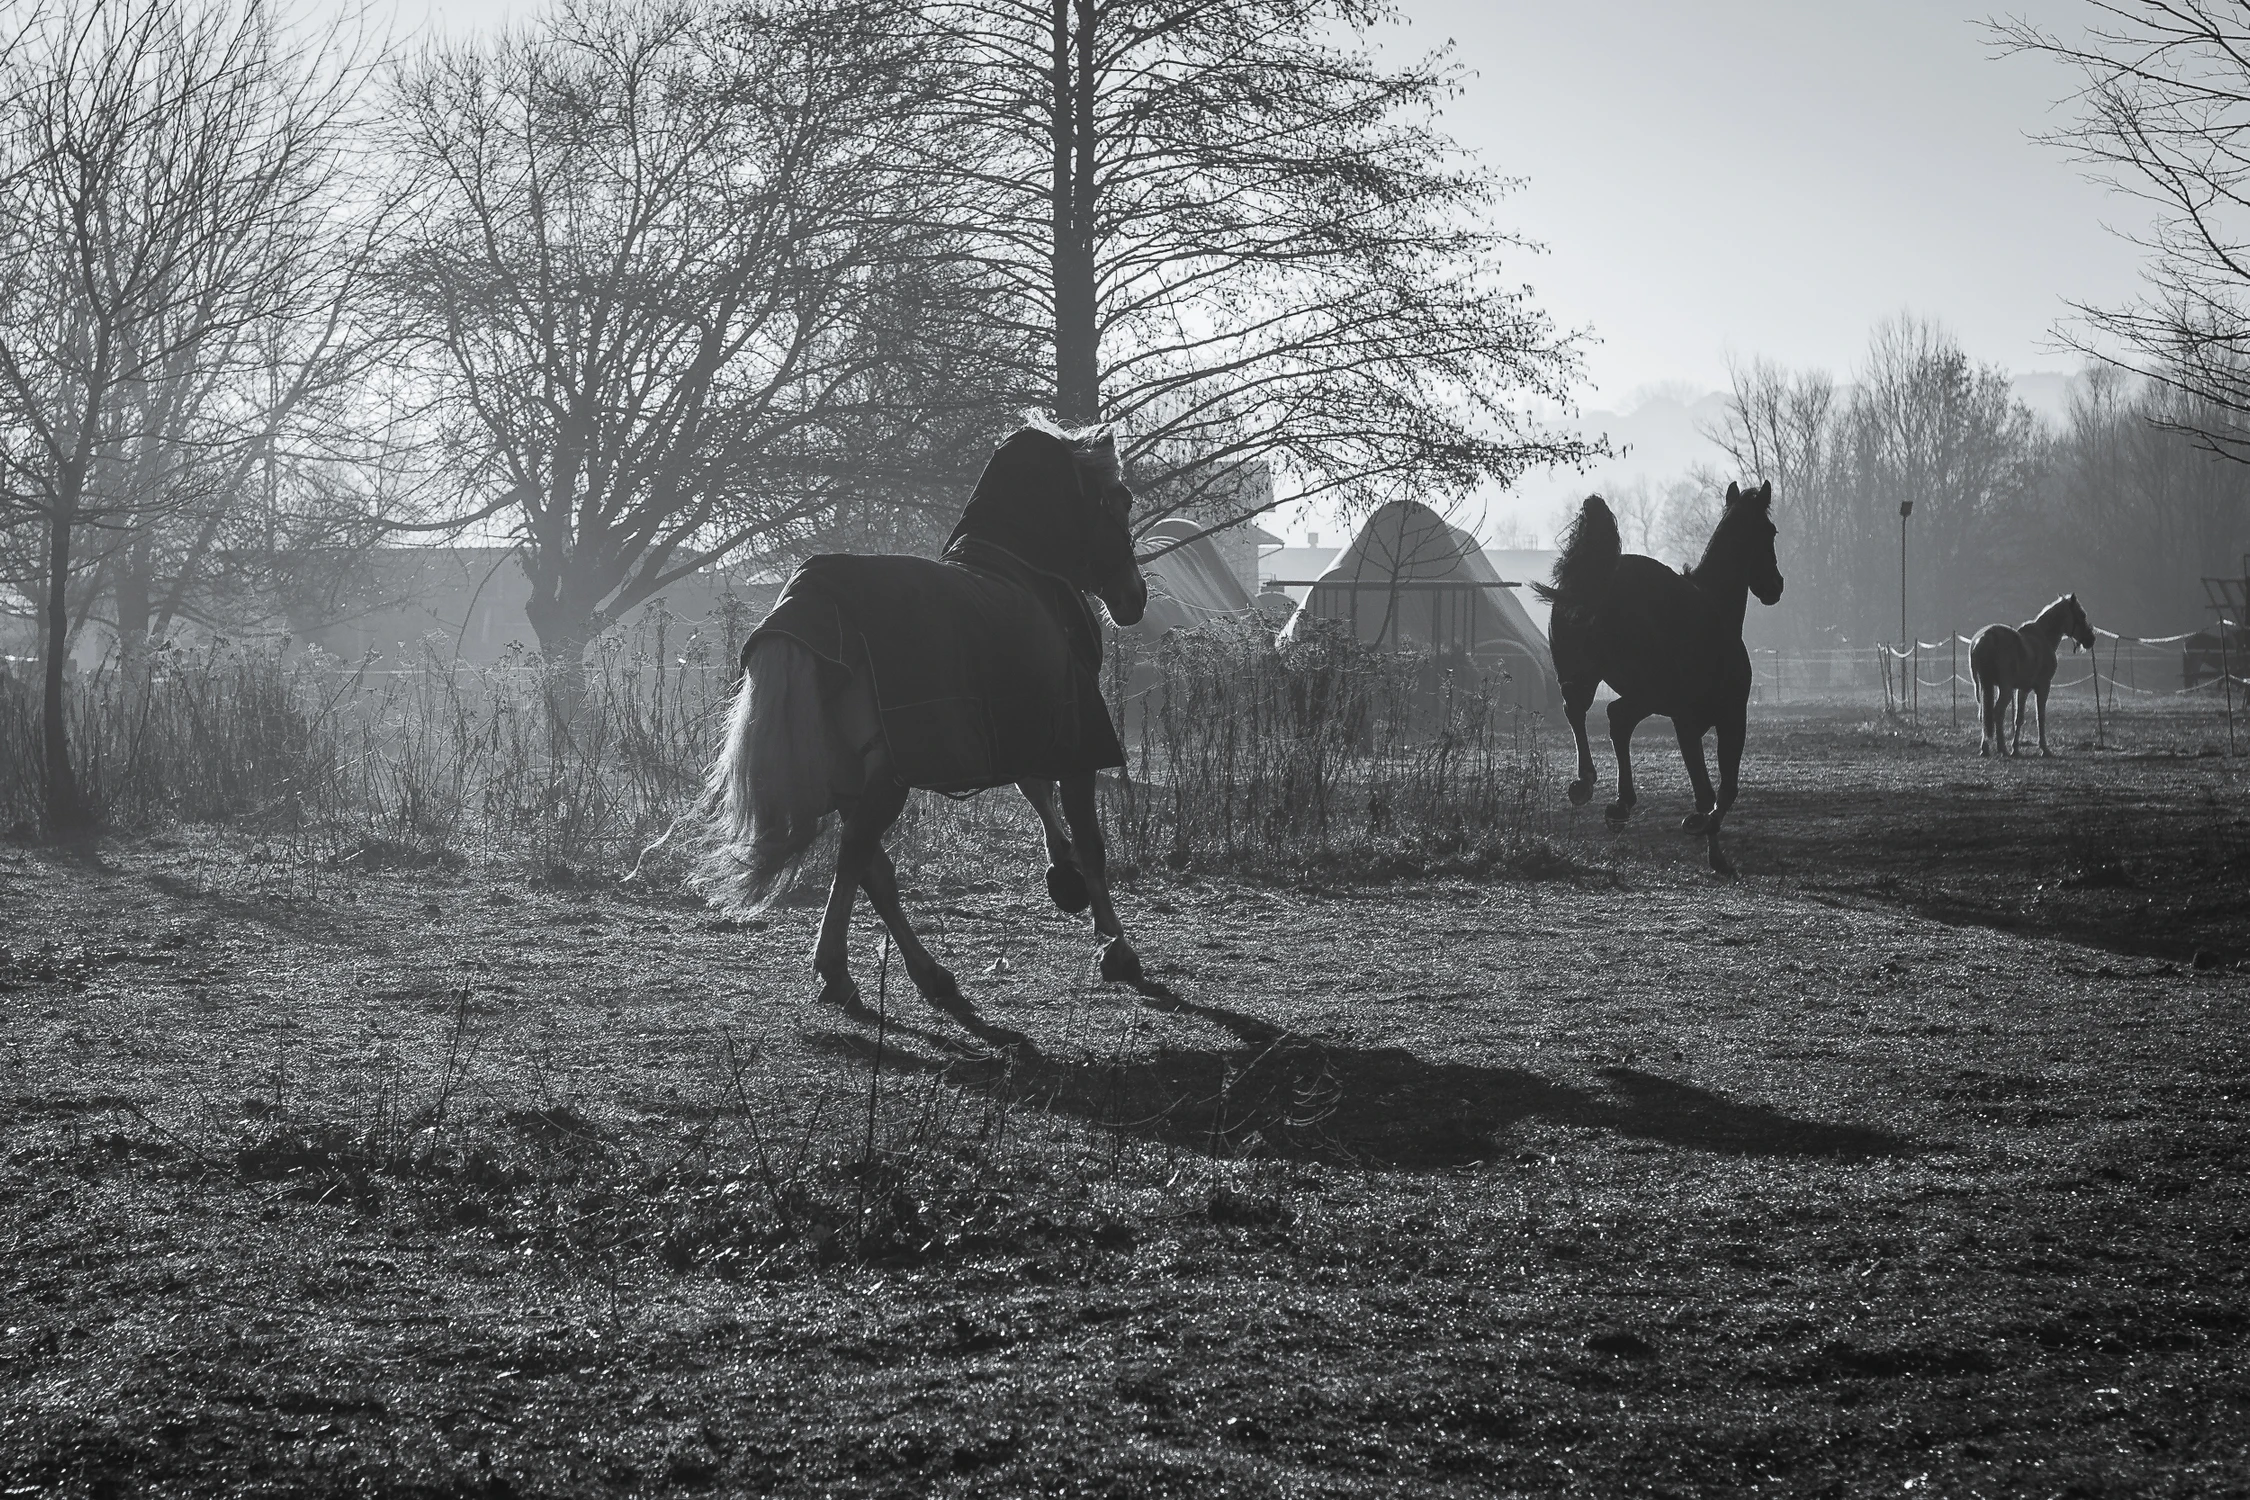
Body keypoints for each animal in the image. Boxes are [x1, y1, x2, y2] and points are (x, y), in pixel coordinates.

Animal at [693, 427, 1152, 1025]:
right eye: (1120, 499)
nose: (1134, 597)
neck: (1021, 571)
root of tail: (810, 609)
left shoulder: (1022, 728)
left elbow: (1035, 790)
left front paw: (1063, 873)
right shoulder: (1076, 741)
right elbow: (1092, 844)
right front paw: (1115, 946)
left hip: (851, 779)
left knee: (874, 870)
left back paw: (927, 975)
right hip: (884, 779)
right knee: (855, 858)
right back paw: (839, 972)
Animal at [1539, 481, 1782, 881]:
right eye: (1771, 532)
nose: (1776, 585)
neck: (1715, 610)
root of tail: (1598, 576)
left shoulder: (1679, 713)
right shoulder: (1723, 717)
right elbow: (1719, 790)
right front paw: (1705, 833)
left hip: (1604, 681)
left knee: (1589, 712)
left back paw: (1598, 791)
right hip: (1645, 691)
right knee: (1595, 715)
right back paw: (1594, 786)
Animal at [1971, 593, 2088, 755]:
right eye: (2082, 615)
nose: (2091, 639)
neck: (2044, 637)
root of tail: (1985, 637)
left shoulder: (2023, 688)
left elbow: (2019, 718)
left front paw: (2016, 749)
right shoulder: (2043, 687)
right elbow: (2040, 716)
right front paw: (2044, 748)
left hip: (1982, 687)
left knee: (1984, 714)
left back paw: (1986, 748)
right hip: (2005, 689)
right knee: (1997, 712)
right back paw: (2002, 748)